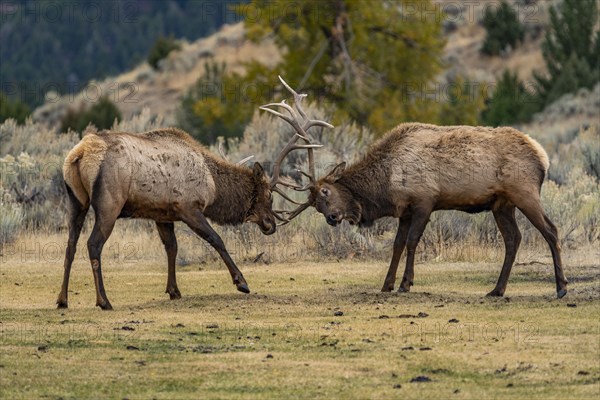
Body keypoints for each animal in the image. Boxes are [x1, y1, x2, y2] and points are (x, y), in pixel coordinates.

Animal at [55, 128, 276, 310]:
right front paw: (241, 282)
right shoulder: (189, 208)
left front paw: (174, 290)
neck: (214, 188)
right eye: (269, 195)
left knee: (70, 245)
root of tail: (79, 154)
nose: (271, 224)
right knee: (93, 244)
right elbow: (216, 240)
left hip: (76, 202)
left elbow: (172, 248)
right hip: (109, 205)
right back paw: (104, 301)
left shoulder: (162, 214)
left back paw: (62, 300)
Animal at [266, 78, 568, 298]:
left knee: (551, 230)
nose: (332, 218)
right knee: (513, 239)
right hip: (501, 204)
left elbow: (412, 241)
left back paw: (561, 288)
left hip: (524, 191)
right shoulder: (405, 211)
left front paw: (405, 284)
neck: (386, 185)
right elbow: (397, 244)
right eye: (316, 206)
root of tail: (543, 157)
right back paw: (496, 290)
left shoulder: (425, 200)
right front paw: (387, 284)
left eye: (326, 192)